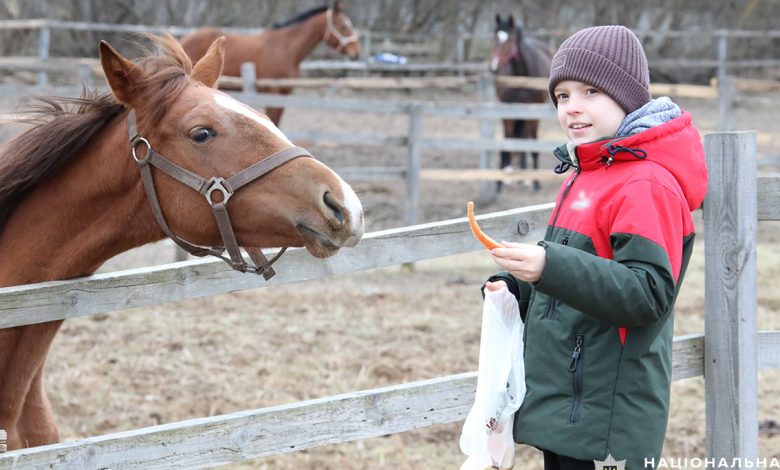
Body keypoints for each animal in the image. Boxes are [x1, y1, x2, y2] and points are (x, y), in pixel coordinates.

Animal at [490, 14, 552, 191]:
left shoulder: (532, 111)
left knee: (528, 138)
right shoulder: (508, 109)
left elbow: (526, 143)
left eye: (510, 39)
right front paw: (502, 179)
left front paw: (533, 181)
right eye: (494, 37)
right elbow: (509, 140)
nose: (494, 67)